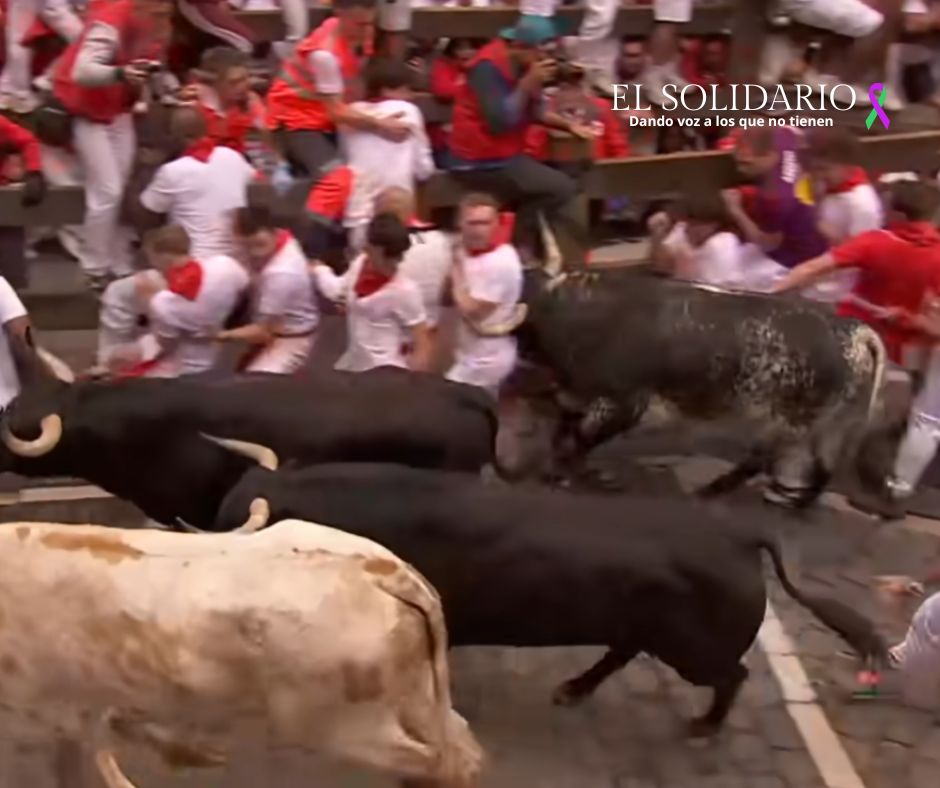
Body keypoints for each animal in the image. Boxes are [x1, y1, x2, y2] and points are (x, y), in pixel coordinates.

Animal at [209, 464, 884, 736]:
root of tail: (741, 536)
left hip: (693, 649)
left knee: (733, 675)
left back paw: (702, 726)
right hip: (647, 629)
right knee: (620, 654)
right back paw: (573, 689)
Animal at [506, 274, 880, 502]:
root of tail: (851, 329)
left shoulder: (624, 403)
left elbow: (580, 440)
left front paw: (575, 475)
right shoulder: (576, 396)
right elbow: (566, 432)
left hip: (789, 421)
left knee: (764, 460)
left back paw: (716, 492)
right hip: (817, 425)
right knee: (820, 464)